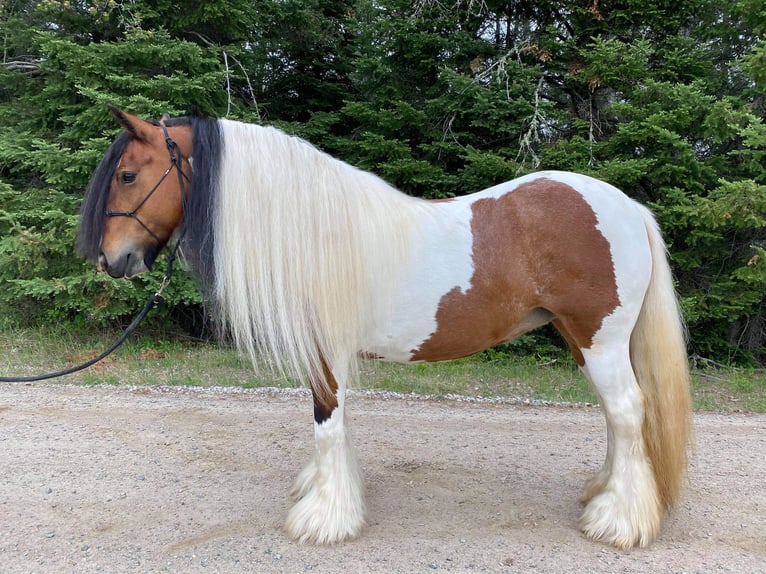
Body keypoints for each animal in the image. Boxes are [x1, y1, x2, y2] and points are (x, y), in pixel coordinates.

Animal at [75, 106, 692, 552]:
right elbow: (337, 428)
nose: (111, 260)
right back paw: (601, 494)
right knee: (617, 416)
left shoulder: (324, 353)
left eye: (128, 175)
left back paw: (619, 521)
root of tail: (626, 206)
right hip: (582, 340)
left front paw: (323, 520)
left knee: (627, 411)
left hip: (599, 339)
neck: (312, 230)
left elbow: (327, 423)